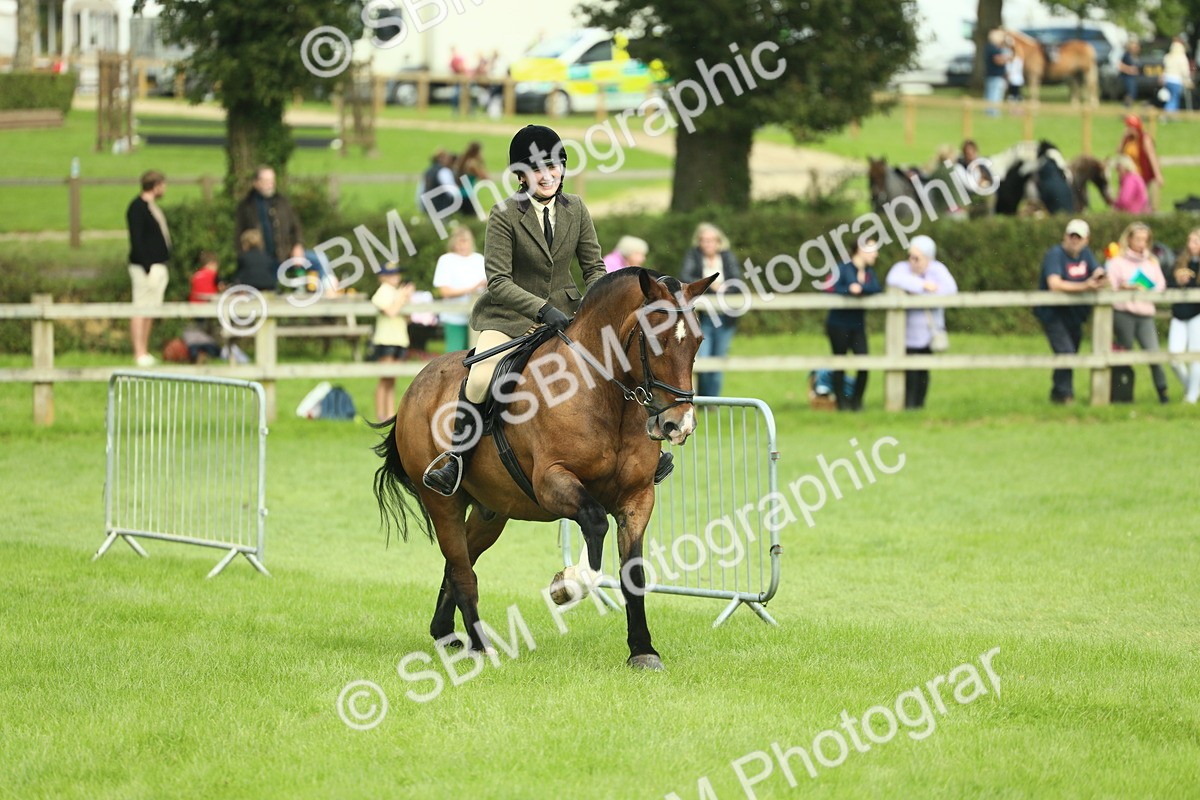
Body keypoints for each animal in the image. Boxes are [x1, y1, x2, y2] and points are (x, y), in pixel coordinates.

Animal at [373, 268, 716, 671]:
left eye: (698, 341)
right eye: (656, 340)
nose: (680, 424)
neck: (603, 394)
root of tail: (415, 385)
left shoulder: (637, 496)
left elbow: (632, 571)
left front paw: (643, 650)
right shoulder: (552, 482)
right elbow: (595, 523)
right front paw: (566, 584)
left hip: (491, 513)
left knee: (460, 561)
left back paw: (446, 633)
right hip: (444, 503)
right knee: (462, 571)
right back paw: (482, 646)